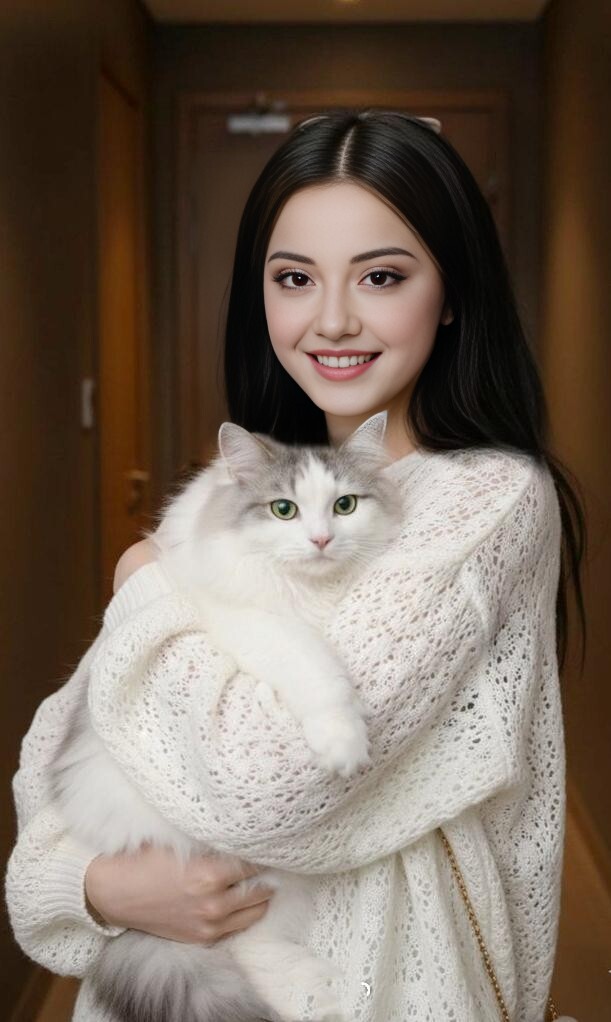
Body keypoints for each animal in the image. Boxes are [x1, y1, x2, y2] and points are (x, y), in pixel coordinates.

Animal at [51, 410, 404, 1022]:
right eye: (283, 509)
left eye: (345, 506)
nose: (321, 539)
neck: (309, 593)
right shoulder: (252, 623)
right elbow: (317, 668)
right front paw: (344, 743)